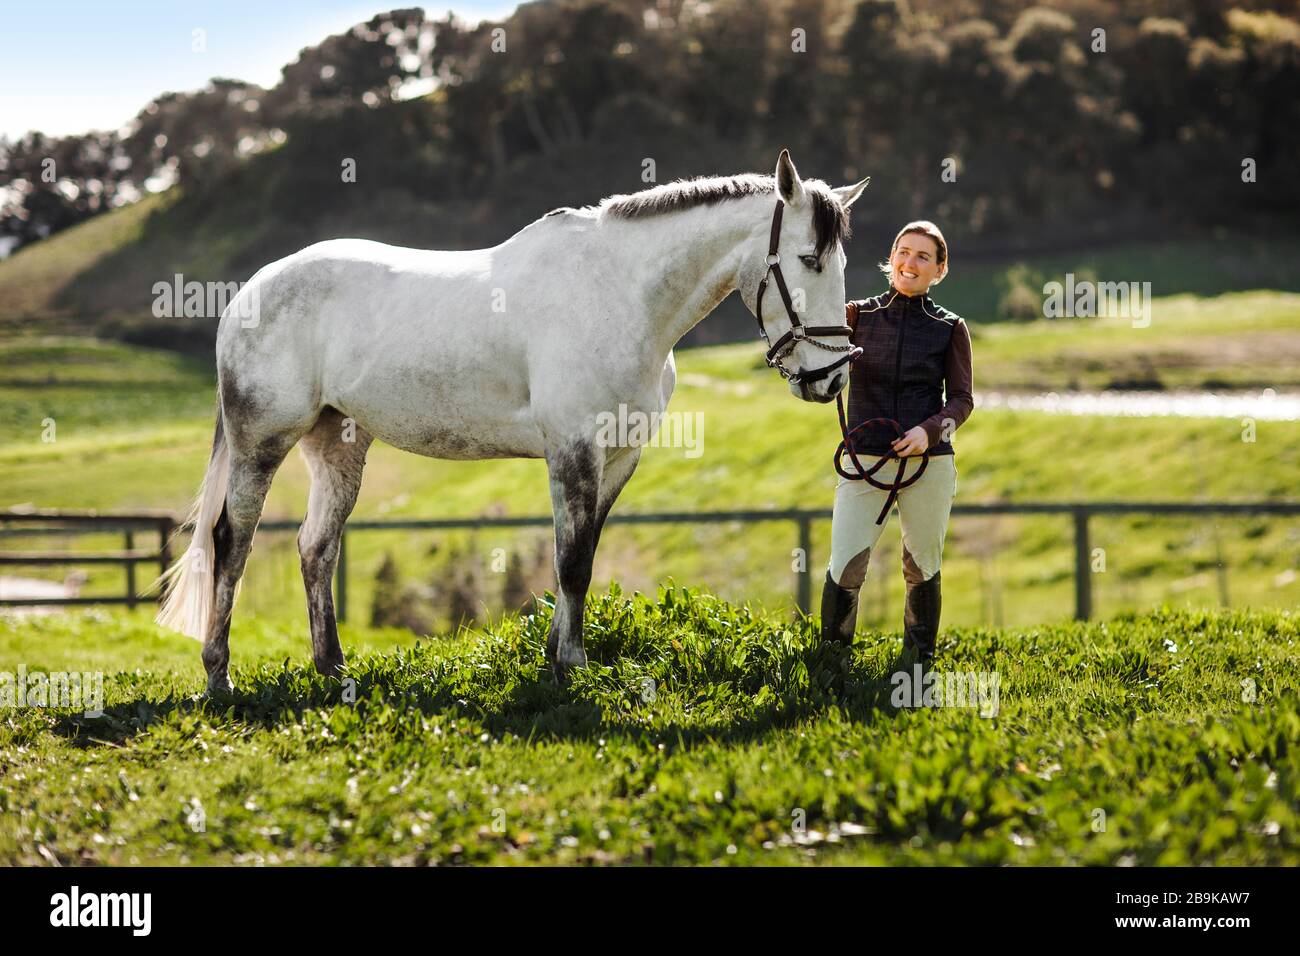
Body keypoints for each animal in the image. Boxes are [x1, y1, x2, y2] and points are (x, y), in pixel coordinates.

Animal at [155, 149, 870, 694]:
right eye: (808, 260)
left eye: (838, 263)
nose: (831, 379)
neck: (619, 294)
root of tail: (247, 294)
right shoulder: (573, 451)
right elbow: (572, 561)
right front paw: (571, 666)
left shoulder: (617, 459)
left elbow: (578, 558)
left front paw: (558, 657)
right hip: (261, 443)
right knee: (232, 542)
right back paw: (219, 677)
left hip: (339, 445)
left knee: (315, 547)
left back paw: (332, 669)